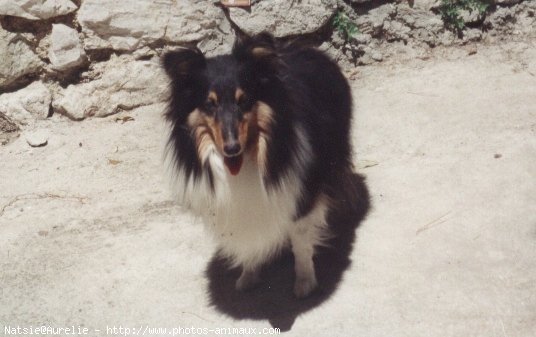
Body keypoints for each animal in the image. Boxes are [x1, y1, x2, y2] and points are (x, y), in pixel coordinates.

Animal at [163, 32, 356, 296]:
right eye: (210, 103)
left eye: (243, 100)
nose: (232, 148)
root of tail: (306, 47)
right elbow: (249, 242)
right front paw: (248, 275)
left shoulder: (301, 193)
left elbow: (301, 241)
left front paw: (304, 283)